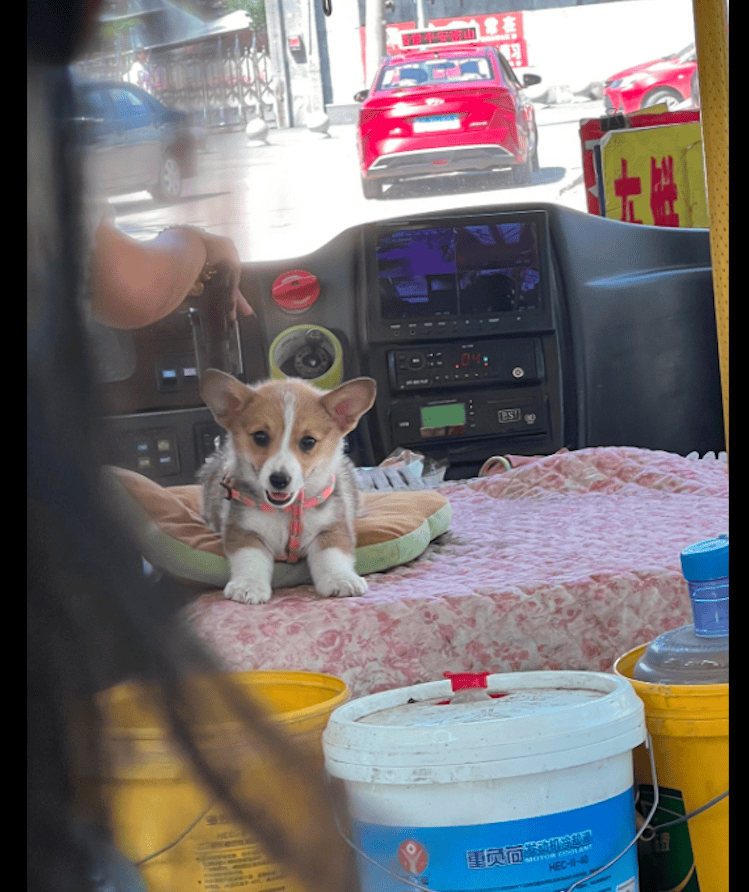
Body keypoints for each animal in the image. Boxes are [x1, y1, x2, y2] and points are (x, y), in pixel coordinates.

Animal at [197, 370, 376, 608]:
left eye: (308, 441)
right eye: (260, 436)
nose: (279, 480)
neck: (287, 511)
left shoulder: (332, 527)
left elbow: (332, 555)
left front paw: (341, 579)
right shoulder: (243, 530)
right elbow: (250, 559)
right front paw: (248, 586)